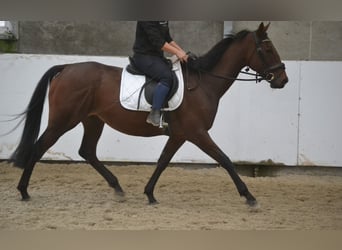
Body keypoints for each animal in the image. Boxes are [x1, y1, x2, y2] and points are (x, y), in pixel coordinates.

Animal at [11, 23, 288, 207]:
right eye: (267, 48)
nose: (283, 80)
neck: (204, 83)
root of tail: (67, 67)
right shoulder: (197, 133)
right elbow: (225, 159)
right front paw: (249, 196)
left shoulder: (179, 135)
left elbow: (163, 161)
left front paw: (150, 194)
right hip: (63, 120)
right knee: (39, 147)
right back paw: (23, 191)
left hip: (93, 120)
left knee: (87, 151)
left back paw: (117, 188)